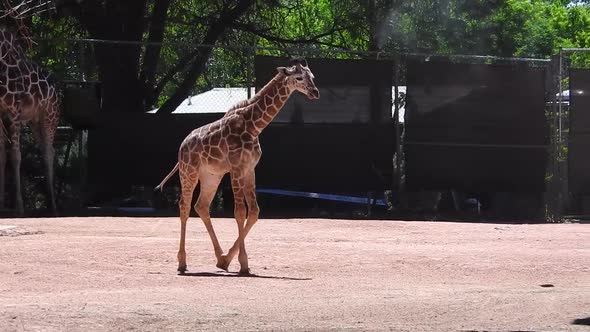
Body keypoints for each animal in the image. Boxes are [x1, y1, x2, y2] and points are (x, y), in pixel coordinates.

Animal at [0, 3, 60, 215]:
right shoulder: (0, 113)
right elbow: (2, 155)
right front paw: (3, 205)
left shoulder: (14, 112)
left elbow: (16, 156)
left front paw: (19, 207)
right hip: (35, 121)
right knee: (46, 149)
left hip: (50, 116)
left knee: (49, 152)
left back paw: (53, 206)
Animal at [157, 59, 322, 274]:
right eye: (299, 77)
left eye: (312, 76)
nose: (315, 92)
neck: (254, 126)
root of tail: (182, 146)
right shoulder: (236, 168)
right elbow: (240, 212)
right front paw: (243, 263)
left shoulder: (249, 169)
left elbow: (254, 211)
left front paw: (228, 260)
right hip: (189, 172)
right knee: (184, 206)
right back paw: (182, 262)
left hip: (211, 175)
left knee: (201, 205)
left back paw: (219, 257)